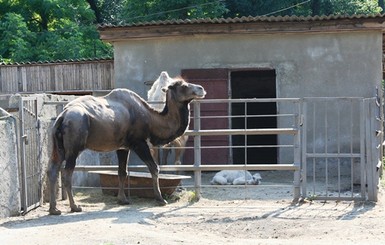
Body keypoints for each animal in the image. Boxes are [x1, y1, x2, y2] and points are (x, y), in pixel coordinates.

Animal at [46, 78, 206, 214]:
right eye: (183, 85)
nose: (201, 88)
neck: (151, 119)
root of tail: (62, 116)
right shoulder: (139, 143)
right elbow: (154, 168)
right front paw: (160, 199)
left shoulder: (122, 147)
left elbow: (122, 172)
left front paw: (122, 200)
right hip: (74, 145)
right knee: (67, 173)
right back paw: (75, 207)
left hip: (58, 146)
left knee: (52, 170)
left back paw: (54, 209)